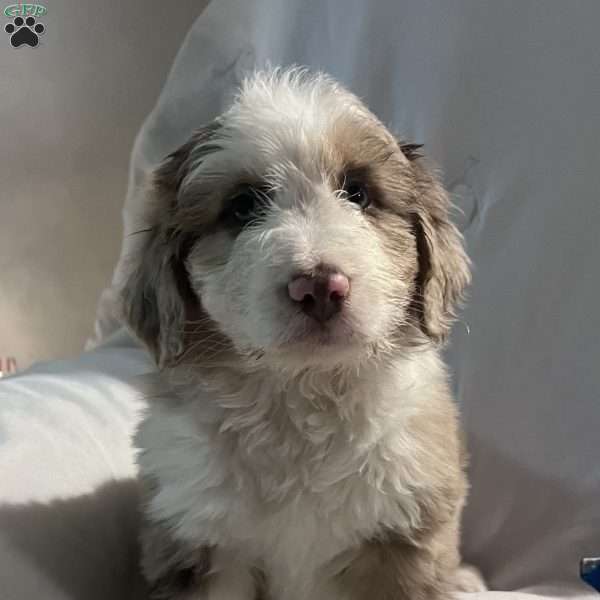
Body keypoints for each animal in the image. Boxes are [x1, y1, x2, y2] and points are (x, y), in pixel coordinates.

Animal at [119, 68, 486, 596]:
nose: (318, 287)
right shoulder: (200, 539)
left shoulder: (404, 534)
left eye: (358, 193)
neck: (302, 401)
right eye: (241, 206)